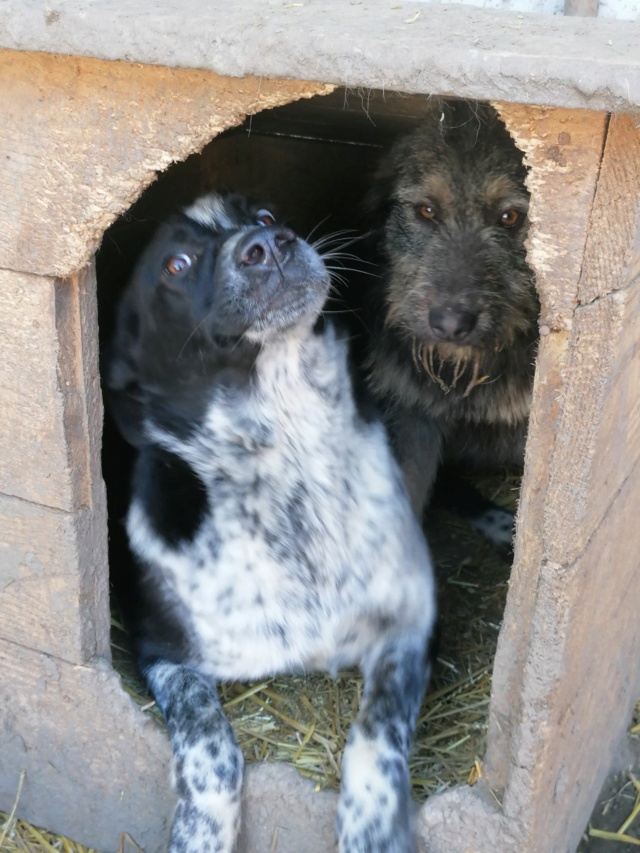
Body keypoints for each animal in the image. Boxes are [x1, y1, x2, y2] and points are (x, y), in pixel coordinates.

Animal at [106, 193, 436, 852]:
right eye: (177, 264)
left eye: (260, 215)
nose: (270, 246)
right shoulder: (160, 652)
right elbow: (210, 745)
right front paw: (198, 835)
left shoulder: (412, 624)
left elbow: (376, 738)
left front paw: (374, 832)